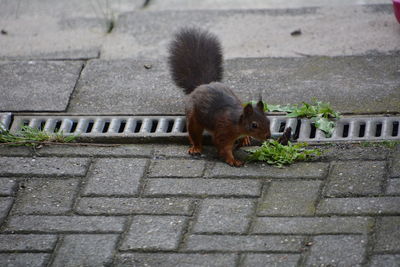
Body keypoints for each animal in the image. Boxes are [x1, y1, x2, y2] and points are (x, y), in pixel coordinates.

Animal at [167, 29, 270, 168]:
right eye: (254, 125)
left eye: (268, 121)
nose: (268, 136)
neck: (236, 122)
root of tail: (201, 85)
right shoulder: (223, 131)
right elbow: (223, 147)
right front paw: (232, 160)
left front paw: (244, 139)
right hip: (193, 117)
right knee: (194, 134)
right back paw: (196, 147)